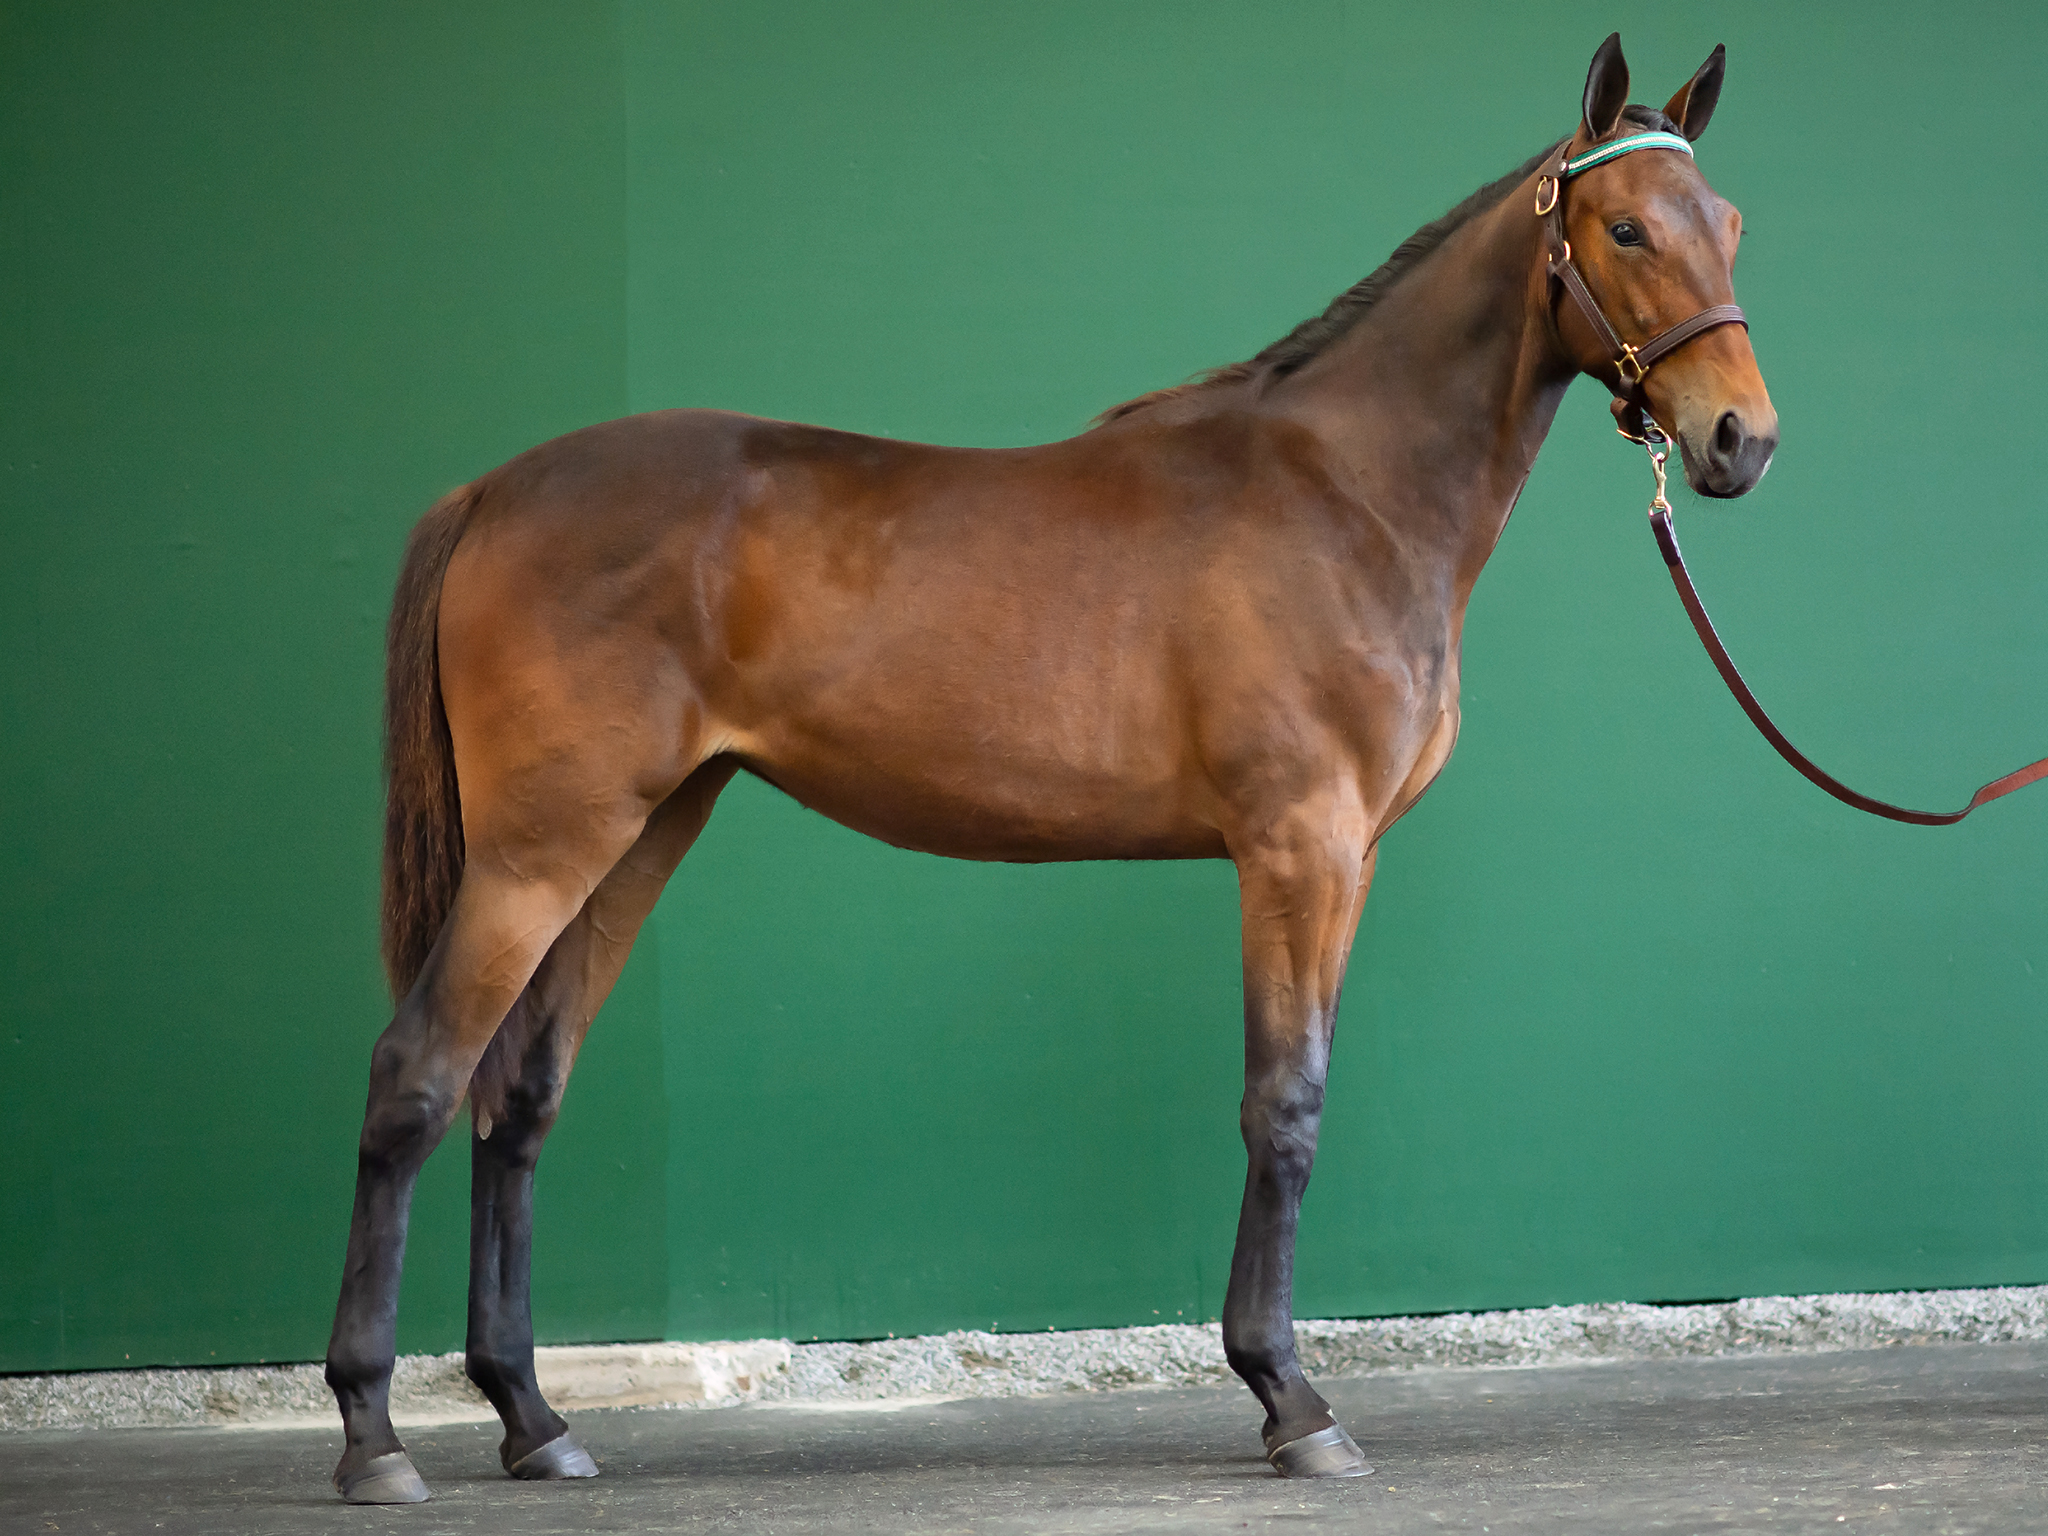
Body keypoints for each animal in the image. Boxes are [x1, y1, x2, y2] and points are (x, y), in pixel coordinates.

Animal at [323, 33, 1777, 1507]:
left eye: (1727, 224)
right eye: (1625, 228)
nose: (1739, 438)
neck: (1346, 494)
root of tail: (493, 493)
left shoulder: (1347, 859)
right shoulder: (1296, 846)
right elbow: (1283, 1106)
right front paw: (1291, 1401)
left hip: (636, 838)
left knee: (518, 1099)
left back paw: (534, 1421)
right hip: (539, 847)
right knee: (415, 1077)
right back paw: (374, 1435)